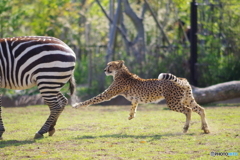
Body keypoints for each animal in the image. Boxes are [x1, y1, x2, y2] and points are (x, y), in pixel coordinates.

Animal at [73, 60, 210, 134]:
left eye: (110, 65)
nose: (104, 69)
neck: (121, 72)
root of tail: (183, 79)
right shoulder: (135, 99)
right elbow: (134, 106)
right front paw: (131, 115)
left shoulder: (108, 94)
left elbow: (92, 99)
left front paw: (77, 105)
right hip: (188, 99)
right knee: (201, 109)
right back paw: (205, 129)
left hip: (173, 103)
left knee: (188, 111)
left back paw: (186, 128)